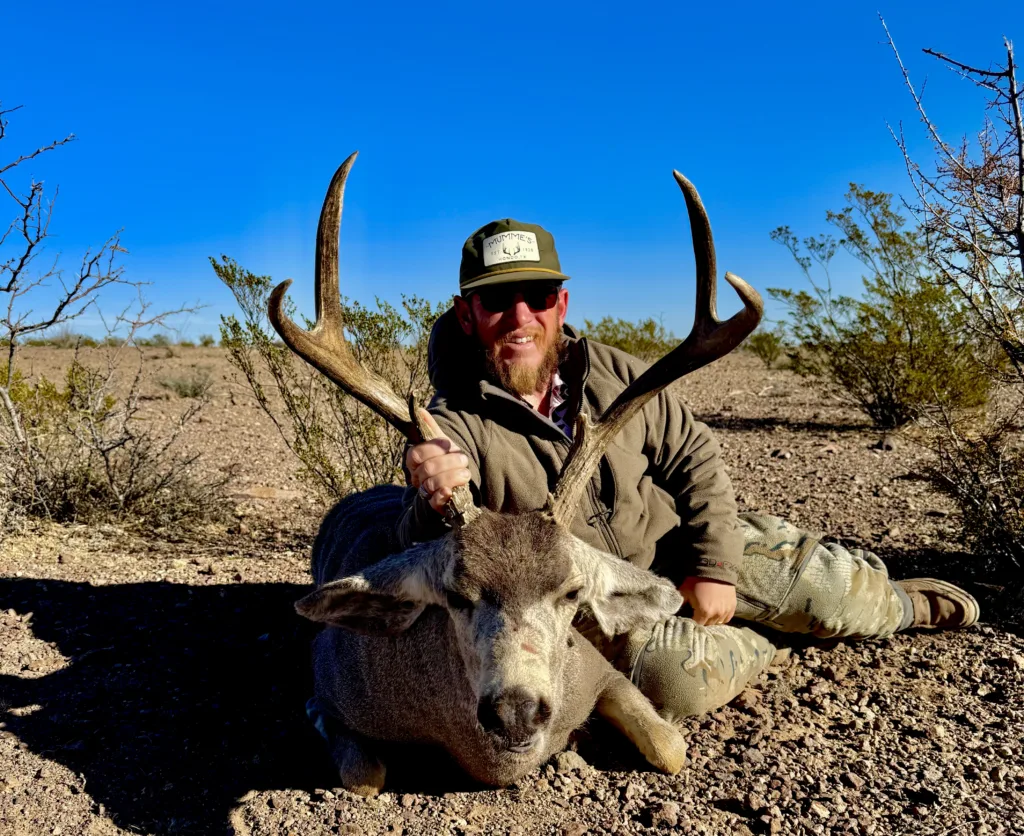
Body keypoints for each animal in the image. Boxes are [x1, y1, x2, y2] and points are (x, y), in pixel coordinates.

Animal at [268, 153, 763, 796]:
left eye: (573, 593)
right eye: (455, 596)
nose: (516, 712)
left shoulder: (603, 672)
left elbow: (671, 747)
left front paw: (577, 745)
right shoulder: (329, 684)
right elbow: (363, 773)